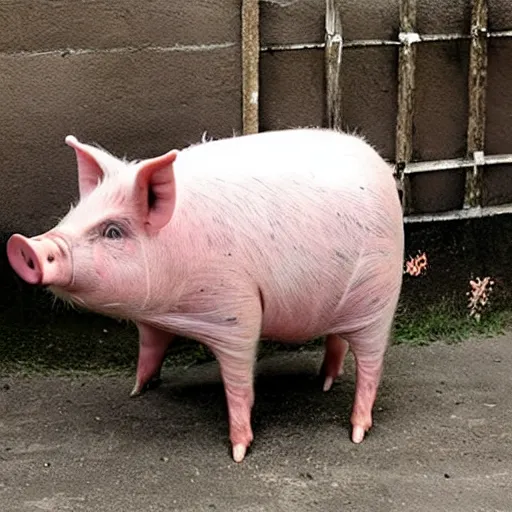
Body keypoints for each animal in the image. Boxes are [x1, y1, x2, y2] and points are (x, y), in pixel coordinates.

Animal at [6, 127, 402, 460]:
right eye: (75, 211)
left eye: (113, 231)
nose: (24, 245)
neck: (176, 308)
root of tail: (380, 164)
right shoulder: (153, 320)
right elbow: (150, 347)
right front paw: (137, 390)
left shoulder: (238, 308)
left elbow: (239, 381)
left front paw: (239, 452)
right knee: (337, 340)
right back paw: (324, 383)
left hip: (380, 297)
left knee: (371, 364)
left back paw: (356, 432)